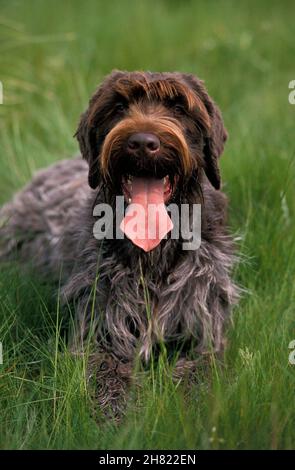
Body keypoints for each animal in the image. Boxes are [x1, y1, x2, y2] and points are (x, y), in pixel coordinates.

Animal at [0, 70, 239, 418]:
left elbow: (202, 371)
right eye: (118, 107)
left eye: (179, 107)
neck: (154, 254)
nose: (142, 143)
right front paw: (118, 415)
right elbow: (105, 370)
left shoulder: (206, 332)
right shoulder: (99, 330)